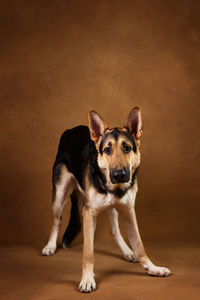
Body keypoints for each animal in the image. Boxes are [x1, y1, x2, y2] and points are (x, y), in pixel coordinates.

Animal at [41, 106, 171, 292]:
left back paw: (127, 250)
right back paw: (50, 246)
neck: (113, 187)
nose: (119, 175)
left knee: (114, 230)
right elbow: (88, 252)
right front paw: (87, 279)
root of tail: (70, 130)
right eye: (107, 150)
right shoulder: (89, 214)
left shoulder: (128, 211)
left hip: (113, 208)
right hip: (59, 195)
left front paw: (152, 268)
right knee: (57, 220)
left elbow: (139, 245)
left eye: (127, 148)